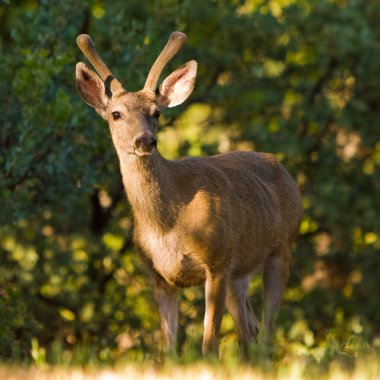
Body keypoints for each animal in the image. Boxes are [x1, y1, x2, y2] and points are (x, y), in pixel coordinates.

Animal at [75, 30, 302, 360]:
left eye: (156, 113)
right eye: (116, 114)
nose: (145, 140)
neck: (167, 222)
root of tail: (287, 173)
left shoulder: (217, 260)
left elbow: (209, 345)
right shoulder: (158, 274)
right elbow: (168, 350)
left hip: (281, 247)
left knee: (266, 331)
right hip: (240, 271)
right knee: (250, 330)